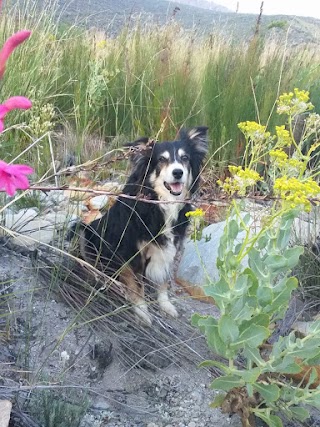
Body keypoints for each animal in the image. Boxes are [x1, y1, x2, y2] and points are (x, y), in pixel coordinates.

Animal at [77, 125, 208, 326]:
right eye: (161, 159)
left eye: (185, 158)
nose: (178, 172)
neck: (159, 203)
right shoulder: (129, 253)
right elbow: (137, 287)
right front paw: (142, 312)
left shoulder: (168, 248)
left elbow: (163, 280)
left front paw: (166, 304)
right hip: (86, 232)